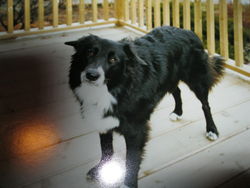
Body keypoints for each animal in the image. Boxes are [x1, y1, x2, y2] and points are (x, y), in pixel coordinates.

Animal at [65, 26, 225, 188]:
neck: (118, 87)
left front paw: (128, 184)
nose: (91, 75)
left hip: (197, 79)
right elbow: (106, 148)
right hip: (170, 78)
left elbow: (132, 159)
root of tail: (187, 30)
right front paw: (101, 170)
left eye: (113, 59)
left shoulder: (136, 131)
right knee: (177, 91)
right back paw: (177, 112)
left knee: (205, 105)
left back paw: (212, 130)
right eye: (89, 52)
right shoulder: (103, 120)